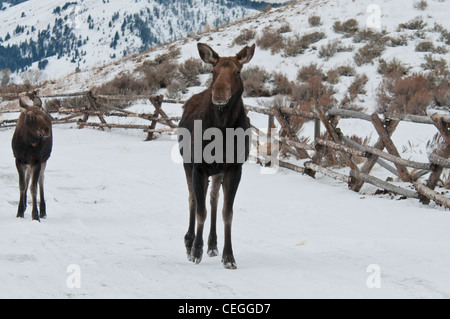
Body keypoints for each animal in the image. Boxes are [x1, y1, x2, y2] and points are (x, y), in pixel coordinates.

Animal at [11, 93, 52, 222]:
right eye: (31, 117)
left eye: (43, 115)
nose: (46, 130)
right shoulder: (18, 160)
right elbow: (22, 185)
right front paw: (20, 211)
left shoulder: (36, 161)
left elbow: (33, 187)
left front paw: (35, 215)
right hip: (28, 163)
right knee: (27, 179)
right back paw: (24, 205)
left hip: (44, 160)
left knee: (40, 180)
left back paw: (43, 211)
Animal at [178, 42, 255, 270]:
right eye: (213, 71)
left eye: (237, 71)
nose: (219, 95)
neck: (222, 130)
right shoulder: (198, 167)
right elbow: (200, 209)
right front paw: (196, 250)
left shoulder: (234, 168)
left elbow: (226, 212)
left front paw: (228, 256)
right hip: (187, 164)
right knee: (193, 199)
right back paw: (189, 241)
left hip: (217, 171)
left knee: (213, 199)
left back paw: (212, 244)